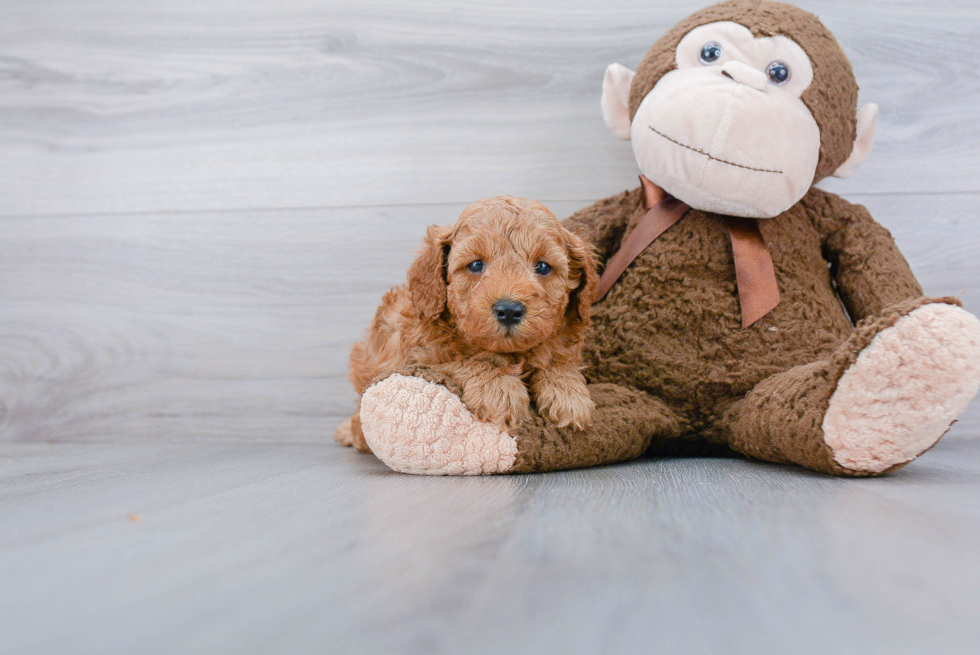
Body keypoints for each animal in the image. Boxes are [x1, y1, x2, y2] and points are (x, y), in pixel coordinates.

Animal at [334, 195, 596, 454]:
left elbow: (558, 362)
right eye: (476, 265)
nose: (509, 310)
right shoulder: (414, 360)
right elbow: (464, 362)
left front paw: (567, 393)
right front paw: (499, 389)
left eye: (542, 266)